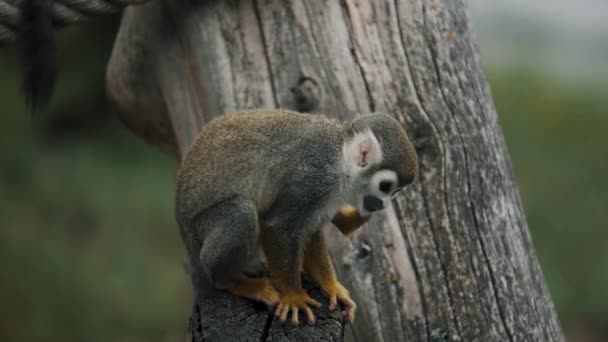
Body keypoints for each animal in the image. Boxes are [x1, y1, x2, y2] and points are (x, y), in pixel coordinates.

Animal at [176, 109, 418, 326]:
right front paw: (294, 296)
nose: (384, 204)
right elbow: (279, 226)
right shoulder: (315, 176)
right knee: (240, 213)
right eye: (385, 186)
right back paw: (232, 282)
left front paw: (331, 286)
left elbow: (310, 231)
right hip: (198, 237)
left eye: (394, 192)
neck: (340, 159)